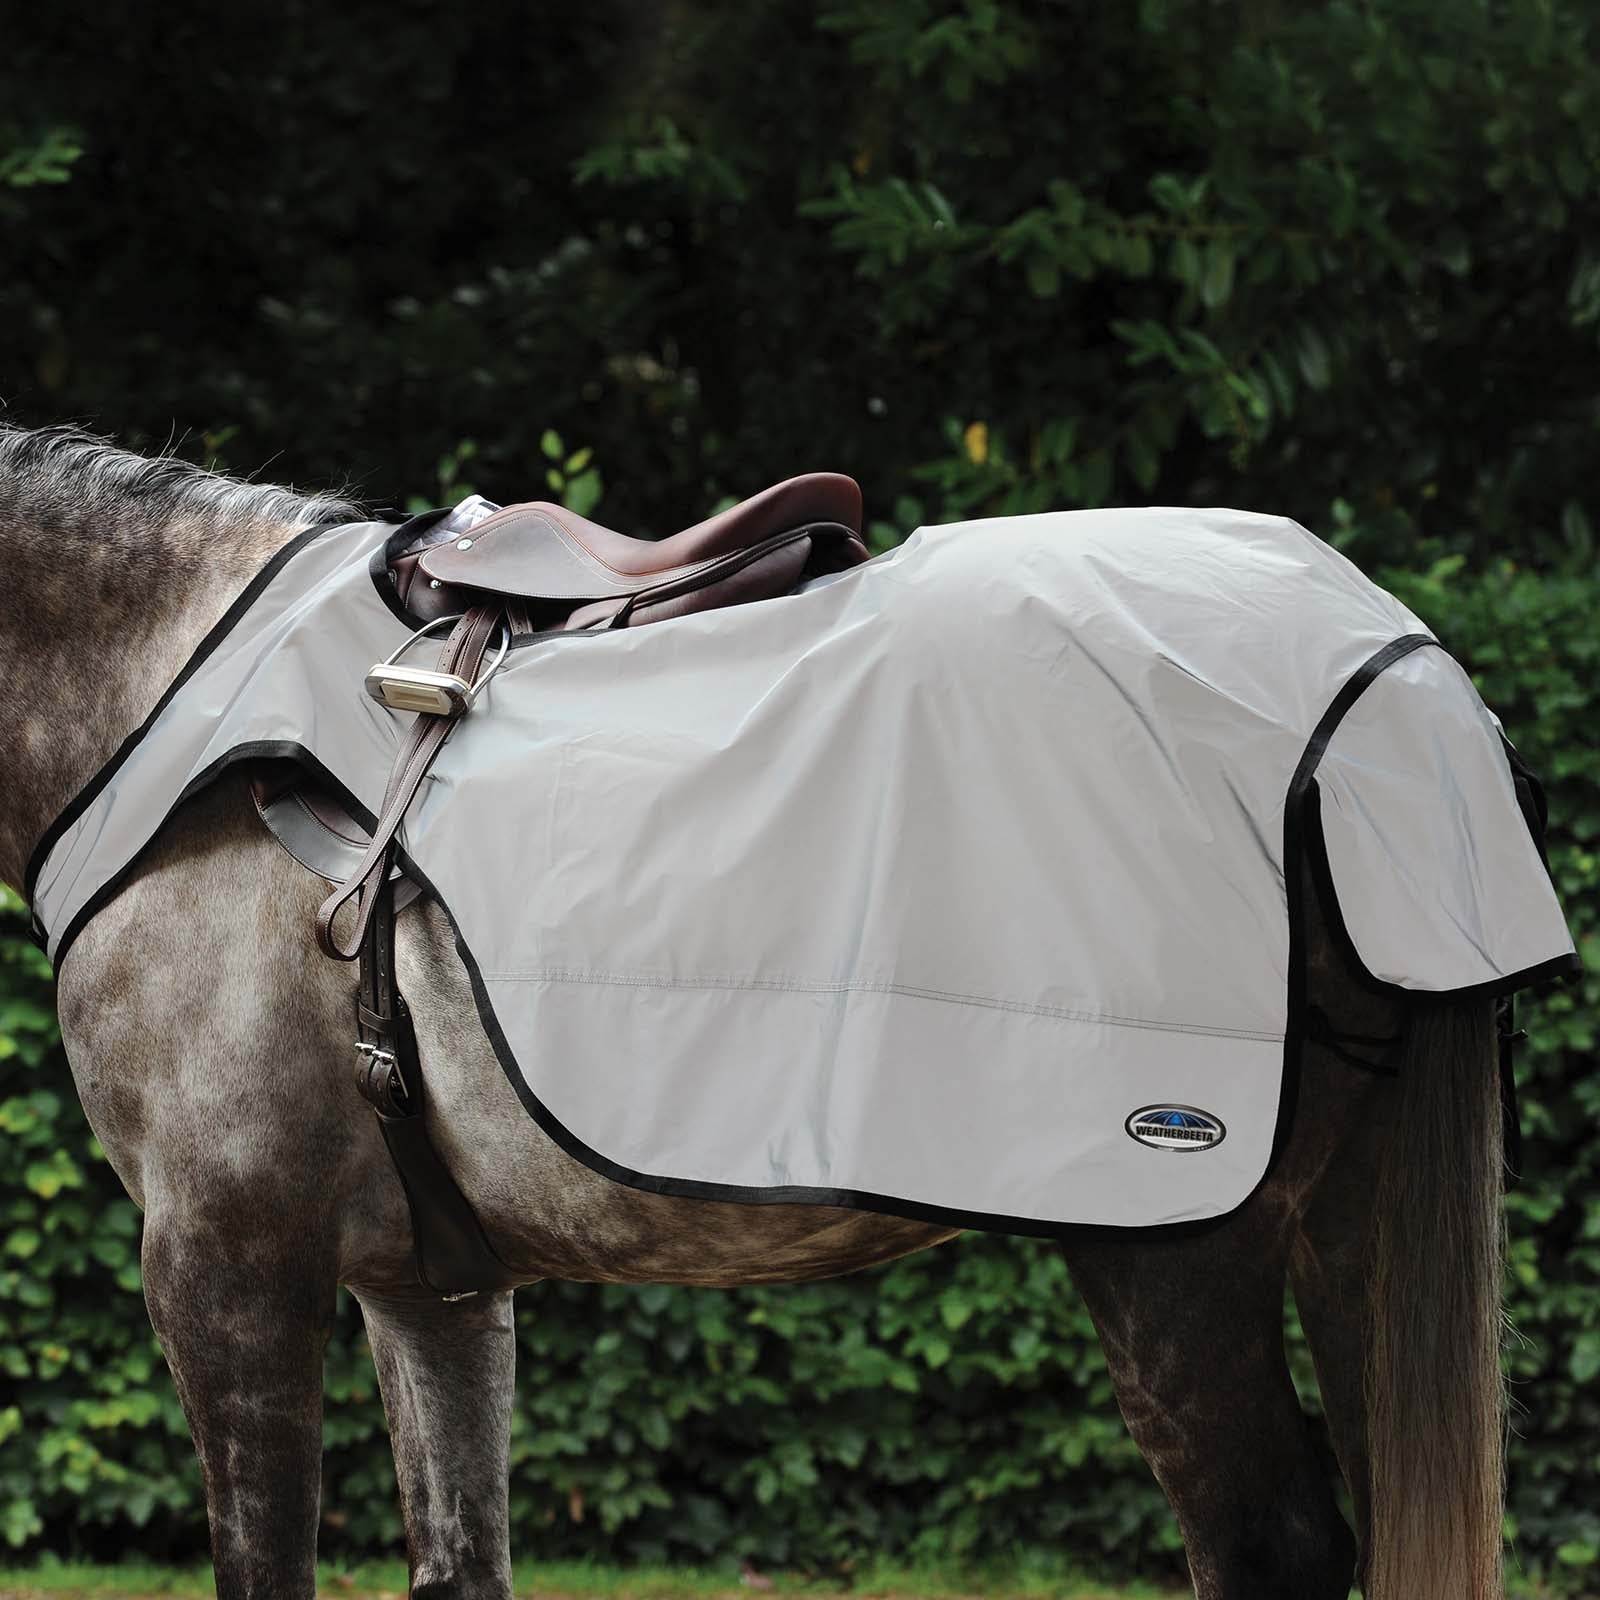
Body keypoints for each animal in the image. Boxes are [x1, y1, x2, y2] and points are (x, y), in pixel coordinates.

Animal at [0, 423, 1511, 1600]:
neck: (160, 690)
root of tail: (1391, 677)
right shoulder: (428, 1283)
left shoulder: (227, 1257)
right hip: (1345, 1224)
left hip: (1176, 1242)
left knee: (1270, 1545)